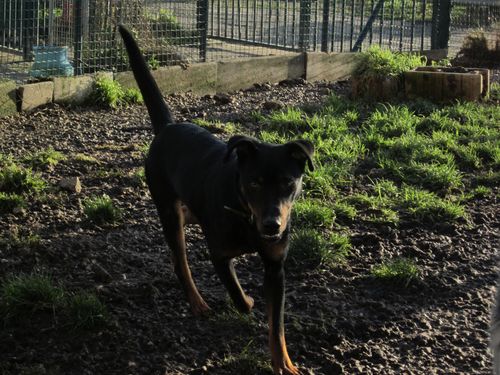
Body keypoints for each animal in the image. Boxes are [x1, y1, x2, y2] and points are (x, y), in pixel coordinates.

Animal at [118, 25, 312, 374]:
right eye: (254, 182)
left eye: (289, 183)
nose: (272, 225)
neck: (247, 217)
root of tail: (167, 127)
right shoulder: (220, 255)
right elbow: (237, 294)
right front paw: (247, 301)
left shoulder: (276, 266)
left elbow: (277, 324)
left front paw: (284, 364)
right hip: (168, 211)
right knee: (180, 261)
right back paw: (197, 303)